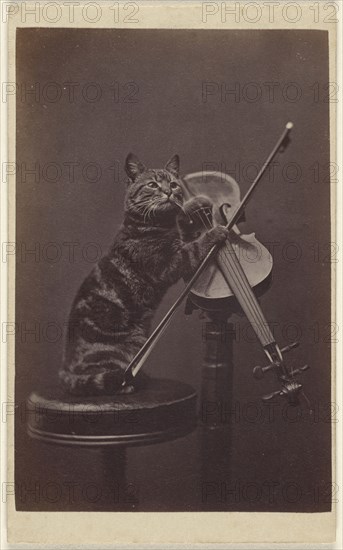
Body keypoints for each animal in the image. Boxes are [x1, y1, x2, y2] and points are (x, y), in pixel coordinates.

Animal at [59, 155, 230, 396]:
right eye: (152, 185)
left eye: (174, 184)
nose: (168, 192)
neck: (159, 224)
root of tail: (65, 372)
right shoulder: (170, 264)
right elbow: (195, 247)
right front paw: (215, 231)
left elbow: (187, 232)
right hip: (117, 355)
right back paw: (129, 384)